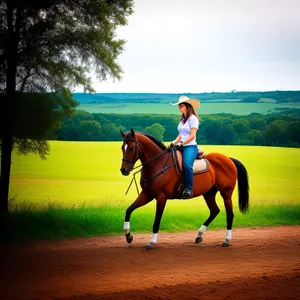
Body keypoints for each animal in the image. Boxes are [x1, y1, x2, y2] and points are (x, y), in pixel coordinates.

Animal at [119, 127, 248, 250]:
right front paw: (128, 236)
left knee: (229, 215)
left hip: (226, 194)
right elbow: (129, 210)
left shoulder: (161, 197)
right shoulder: (147, 194)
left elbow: (157, 221)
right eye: (122, 148)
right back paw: (199, 235)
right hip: (208, 193)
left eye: (131, 148)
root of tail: (229, 159)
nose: (124, 170)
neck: (158, 163)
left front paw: (151, 242)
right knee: (214, 211)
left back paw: (226, 240)